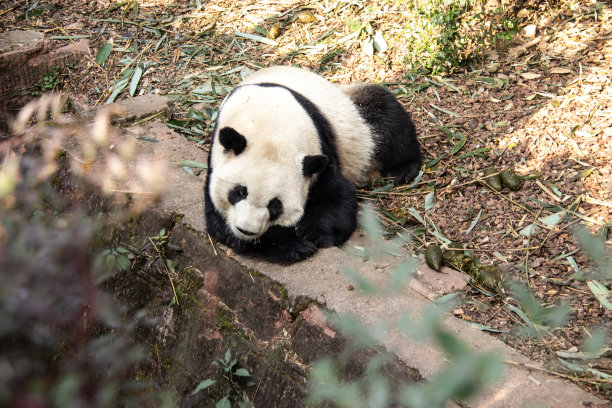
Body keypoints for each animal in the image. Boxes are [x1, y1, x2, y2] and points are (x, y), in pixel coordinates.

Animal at [204, 67, 420, 264]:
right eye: (240, 192)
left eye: (275, 205)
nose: (246, 230)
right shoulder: (216, 161)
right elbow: (218, 223)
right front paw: (293, 246)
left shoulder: (319, 147)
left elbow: (336, 196)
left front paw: (313, 233)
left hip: (356, 116)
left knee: (385, 115)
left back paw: (403, 169)